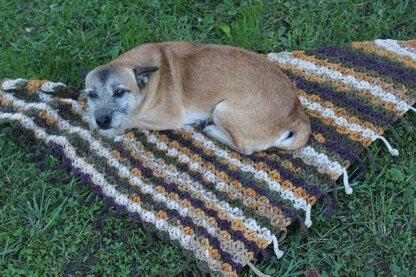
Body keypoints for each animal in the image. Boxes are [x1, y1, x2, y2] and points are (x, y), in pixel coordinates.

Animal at [83, 41, 310, 154]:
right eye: (92, 94)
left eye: (120, 92)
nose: (102, 120)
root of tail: (297, 111)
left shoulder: (167, 118)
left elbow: (131, 119)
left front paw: (109, 129)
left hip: (223, 110)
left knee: (245, 149)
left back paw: (212, 130)